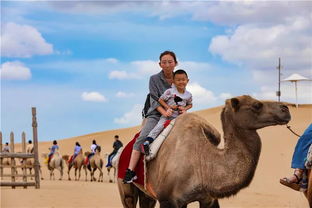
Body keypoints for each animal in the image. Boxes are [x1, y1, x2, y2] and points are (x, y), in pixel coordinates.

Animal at [116, 96, 290, 208]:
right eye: (256, 105)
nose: (286, 108)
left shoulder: (208, 199)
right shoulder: (168, 200)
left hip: (147, 192)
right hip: (125, 188)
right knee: (128, 200)